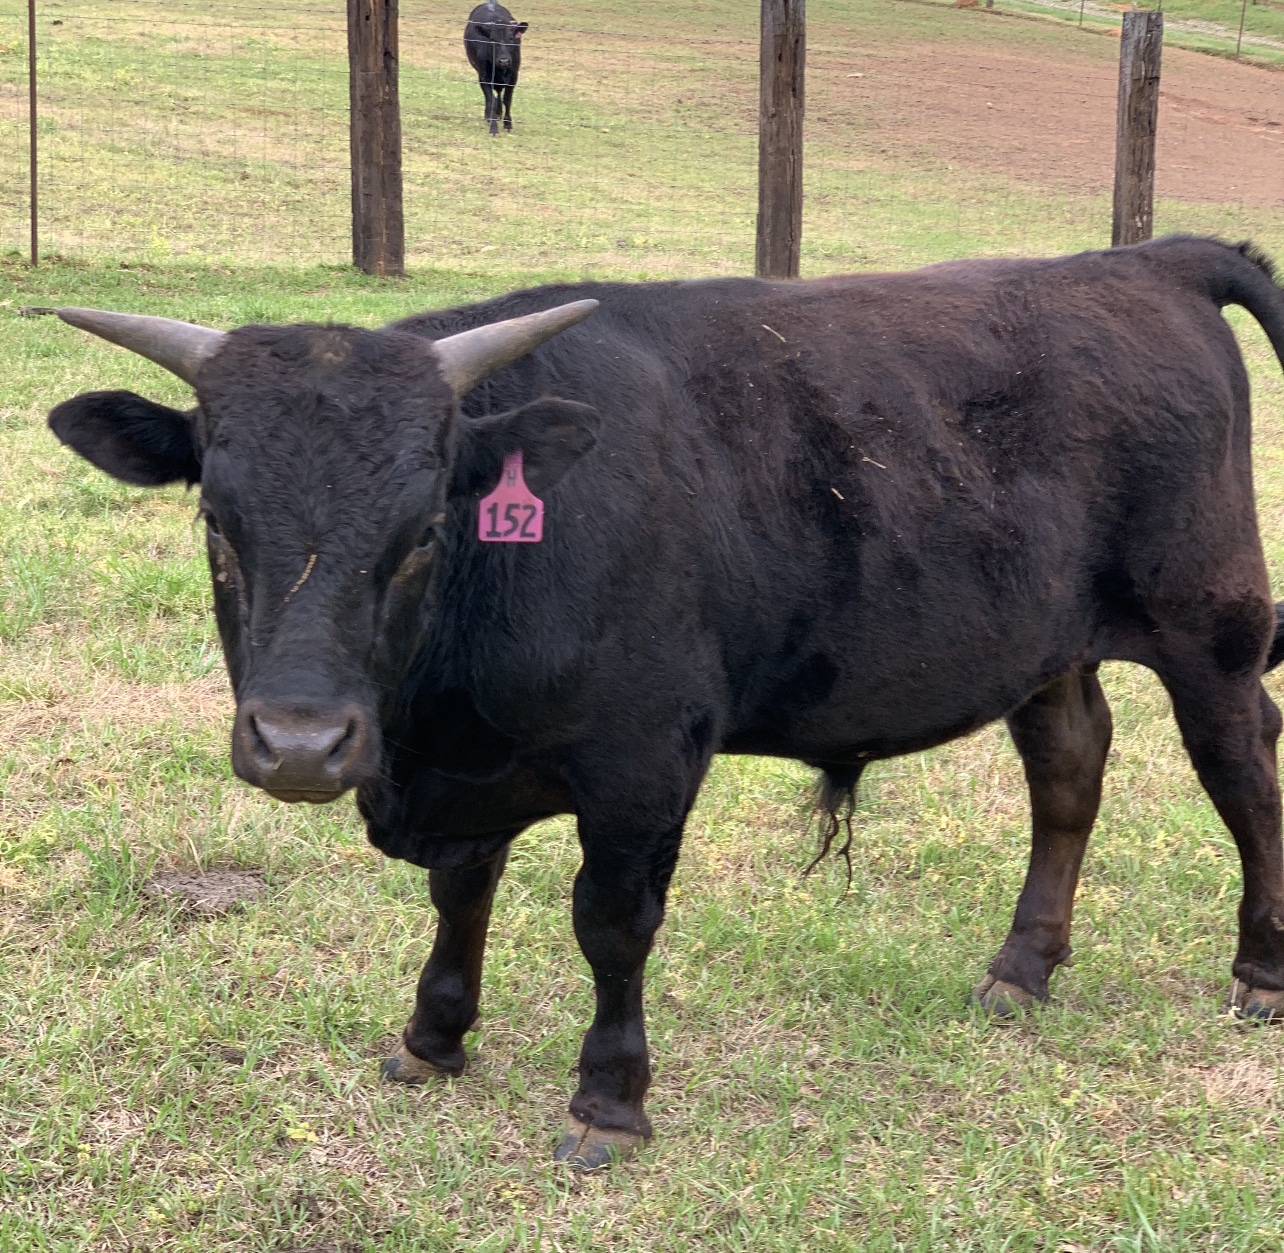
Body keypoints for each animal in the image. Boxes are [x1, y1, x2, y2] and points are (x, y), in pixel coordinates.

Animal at [45, 240, 1284, 1170]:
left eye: (426, 531)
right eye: (217, 523)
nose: (300, 743)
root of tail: (1148, 258)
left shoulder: (644, 762)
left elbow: (611, 921)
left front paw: (608, 1097)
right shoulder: (473, 769)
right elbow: (461, 892)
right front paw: (433, 1034)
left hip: (1211, 633)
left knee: (1246, 781)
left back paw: (1260, 969)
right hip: (1045, 642)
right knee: (1070, 769)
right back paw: (1023, 966)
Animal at [467, 0, 526, 134]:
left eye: (511, 38)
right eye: (492, 39)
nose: (504, 61)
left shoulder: (513, 76)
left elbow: (507, 99)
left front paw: (508, 124)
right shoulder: (483, 76)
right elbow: (491, 99)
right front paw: (493, 127)